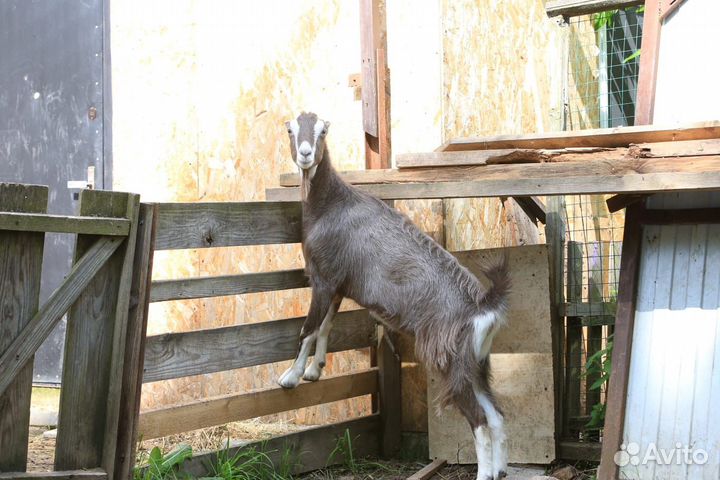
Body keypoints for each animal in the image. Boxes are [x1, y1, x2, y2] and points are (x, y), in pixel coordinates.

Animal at [278, 112, 511, 480]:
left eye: (322, 131)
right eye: (290, 128)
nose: (305, 154)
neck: (331, 204)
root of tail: (483, 307)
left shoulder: (323, 279)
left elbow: (309, 328)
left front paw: (290, 377)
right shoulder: (338, 284)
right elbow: (327, 325)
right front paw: (315, 370)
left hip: (451, 361)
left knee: (479, 420)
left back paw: (484, 473)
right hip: (476, 364)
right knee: (497, 415)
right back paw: (500, 470)